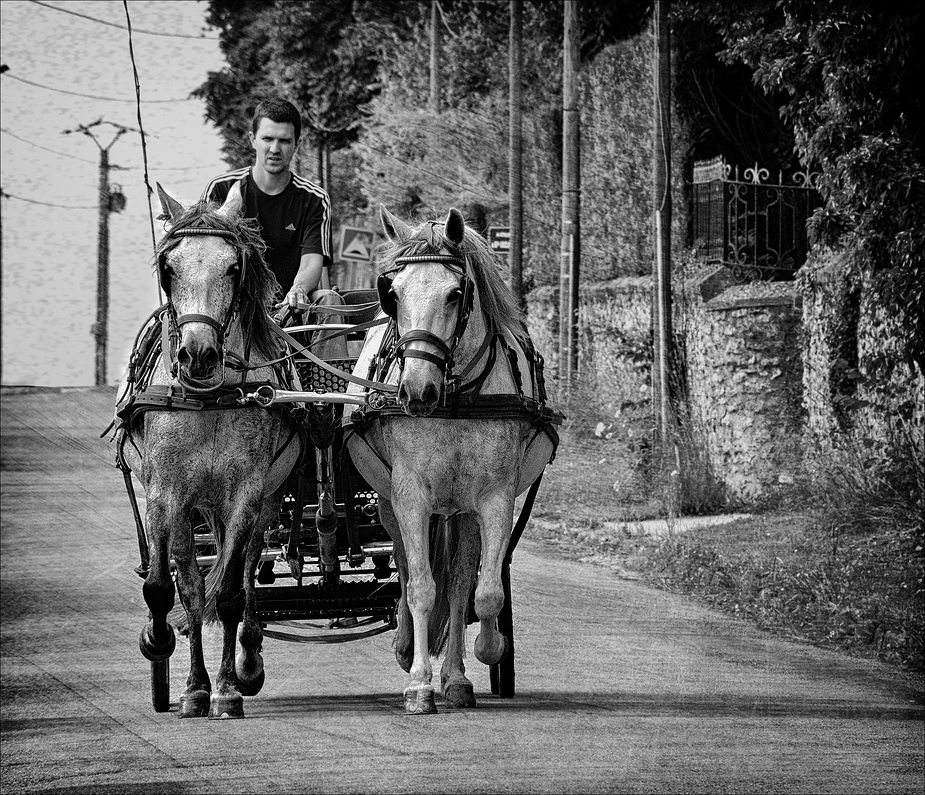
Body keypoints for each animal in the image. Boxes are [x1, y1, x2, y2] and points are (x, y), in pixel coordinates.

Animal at [111, 185, 300, 720]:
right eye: (167, 268)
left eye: (233, 267)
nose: (198, 356)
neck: (209, 397)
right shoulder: (166, 493)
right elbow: (172, 587)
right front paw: (184, 675)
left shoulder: (247, 494)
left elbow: (232, 591)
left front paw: (228, 689)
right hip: (192, 505)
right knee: (188, 573)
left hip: (259, 502)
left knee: (251, 569)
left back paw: (247, 662)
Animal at [342, 205, 560, 716]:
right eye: (393, 294)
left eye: (455, 293)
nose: (416, 391)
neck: (455, 398)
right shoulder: (411, 497)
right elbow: (421, 589)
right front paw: (419, 684)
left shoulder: (495, 499)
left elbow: (485, 593)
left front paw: (487, 650)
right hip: (389, 503)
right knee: (406, 568)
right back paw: (407, 649)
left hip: (461, 511)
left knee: (461, 582)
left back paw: (457, 677)